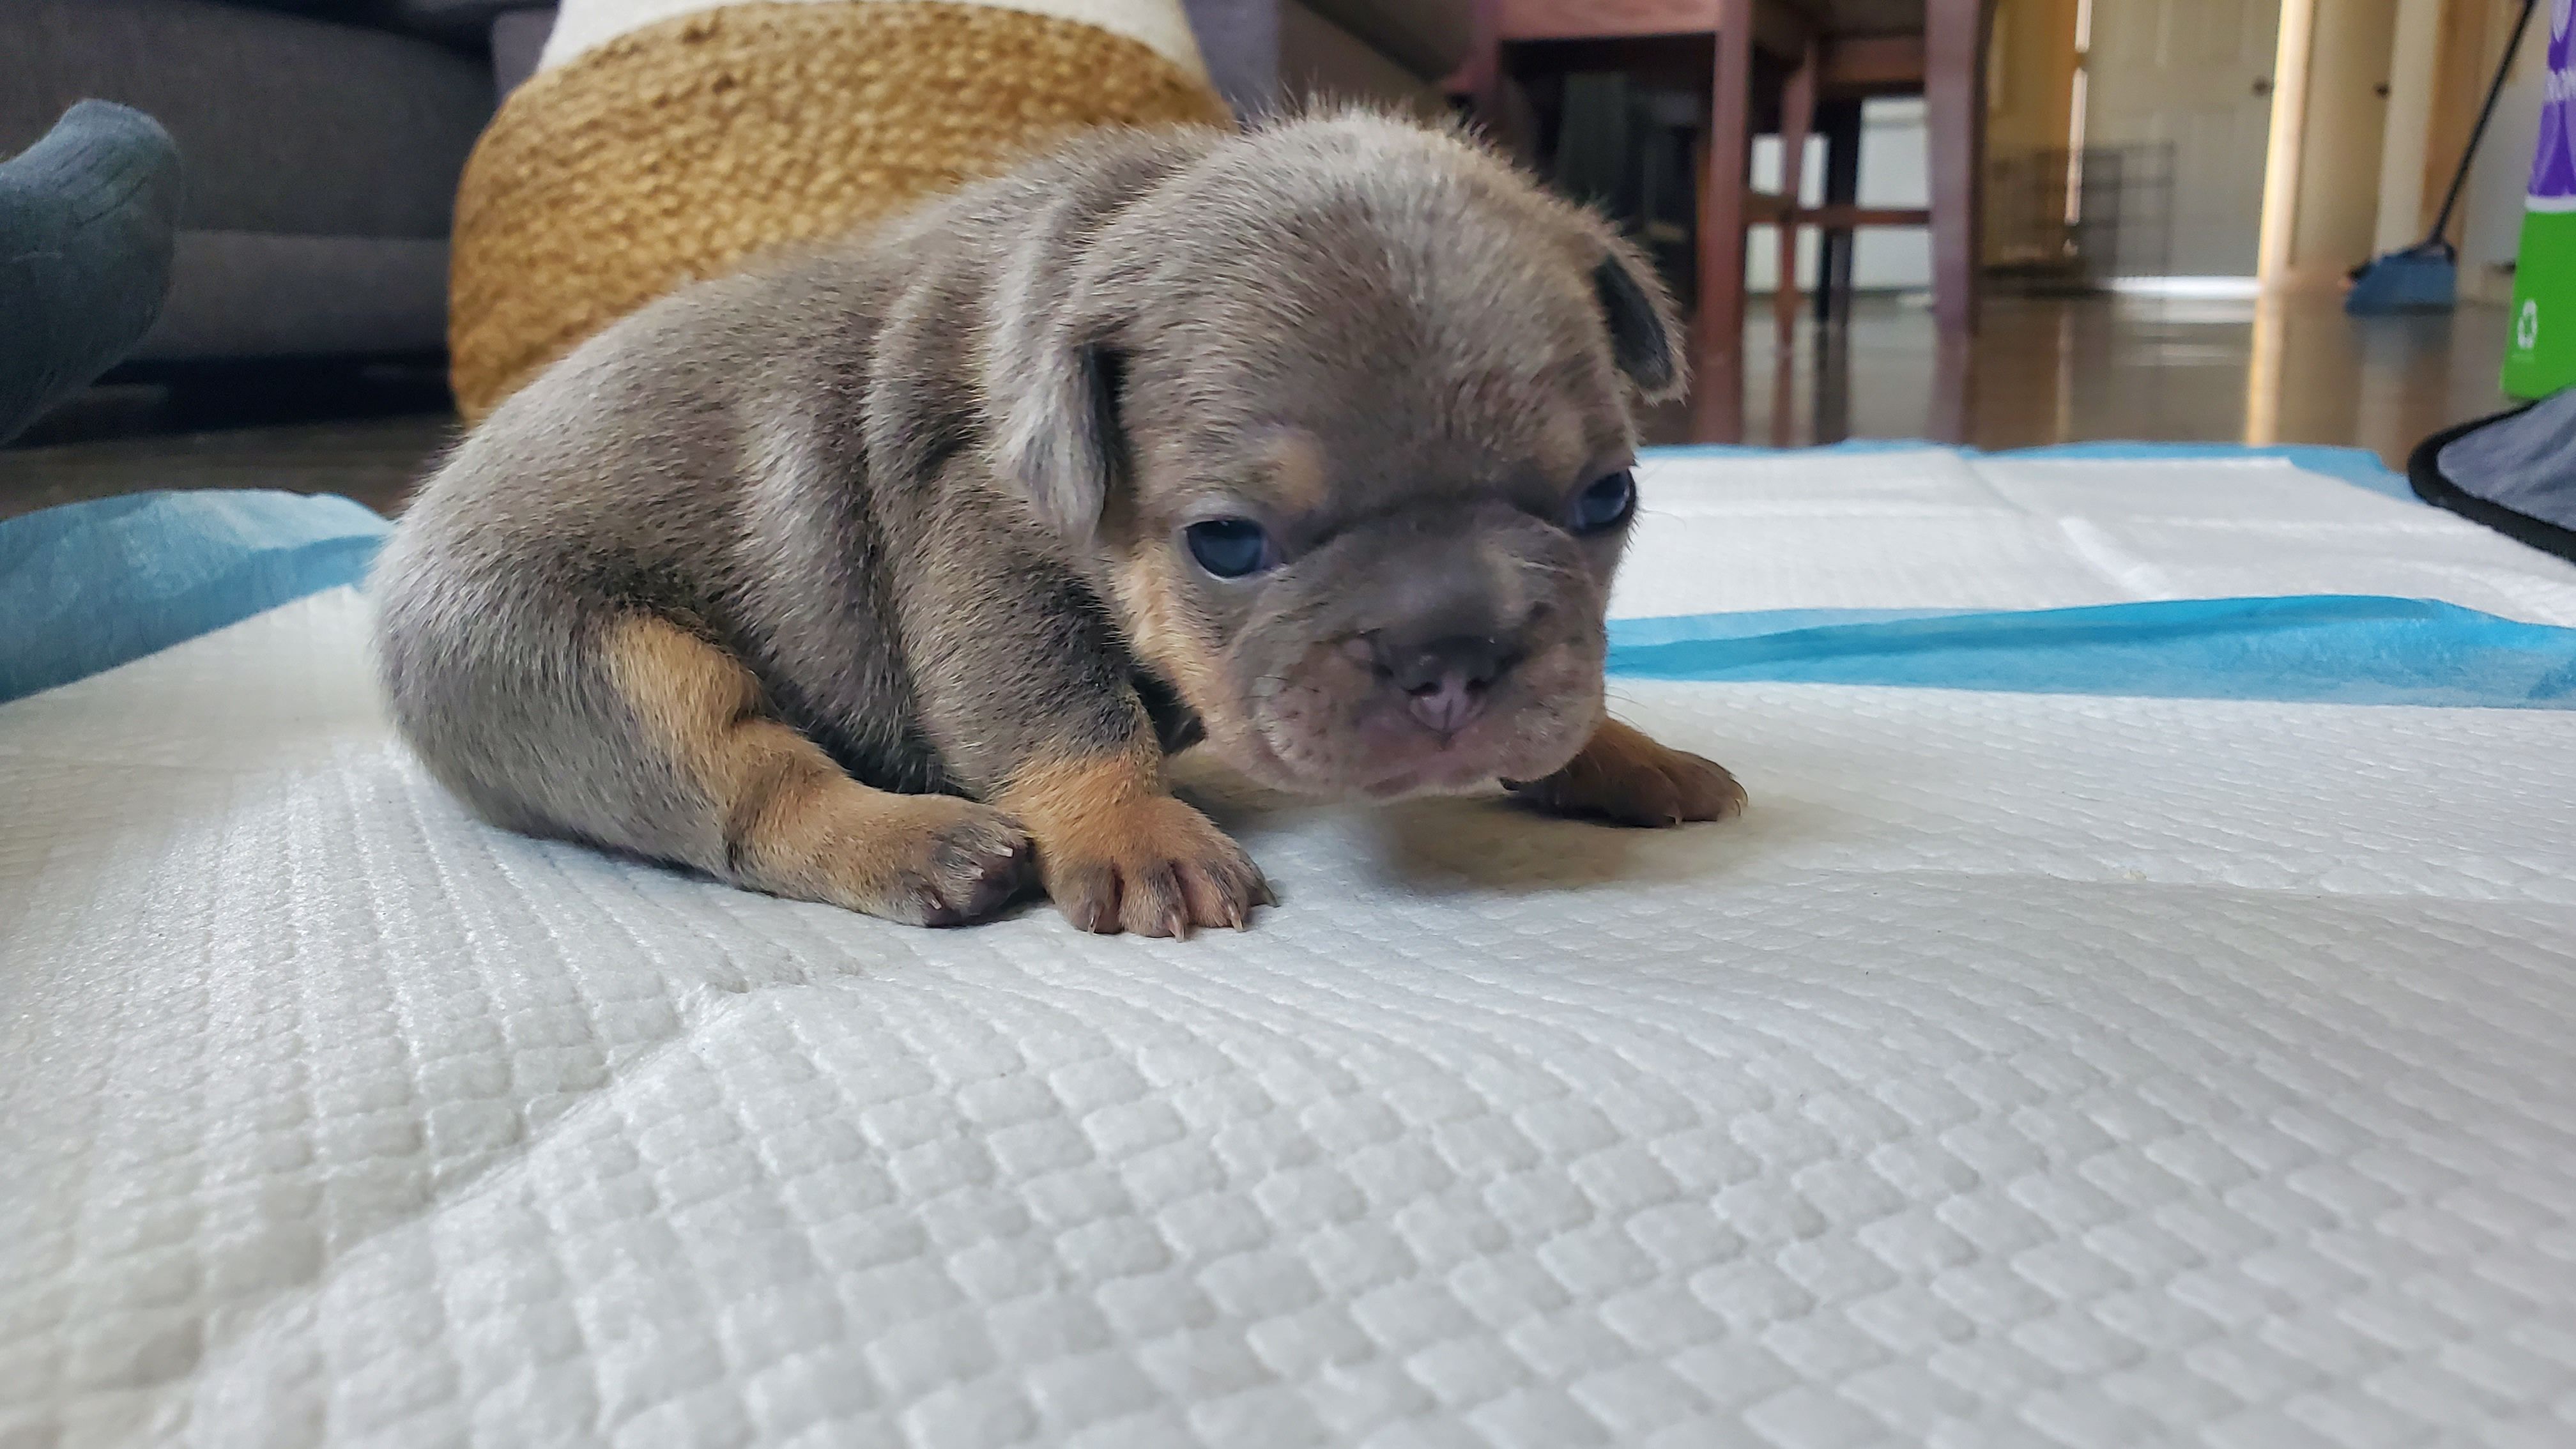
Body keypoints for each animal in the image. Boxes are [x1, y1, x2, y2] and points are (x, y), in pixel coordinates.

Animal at [376, 104, 1751, 938]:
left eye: (1609, 499)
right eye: (1228, 544)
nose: (1454, 656)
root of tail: (407, 534)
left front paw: (1616, 750)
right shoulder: (982, 539)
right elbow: (1062, 709)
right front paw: (1132, 827)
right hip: (592, 665)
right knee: (739, 789)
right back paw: (916, 844)